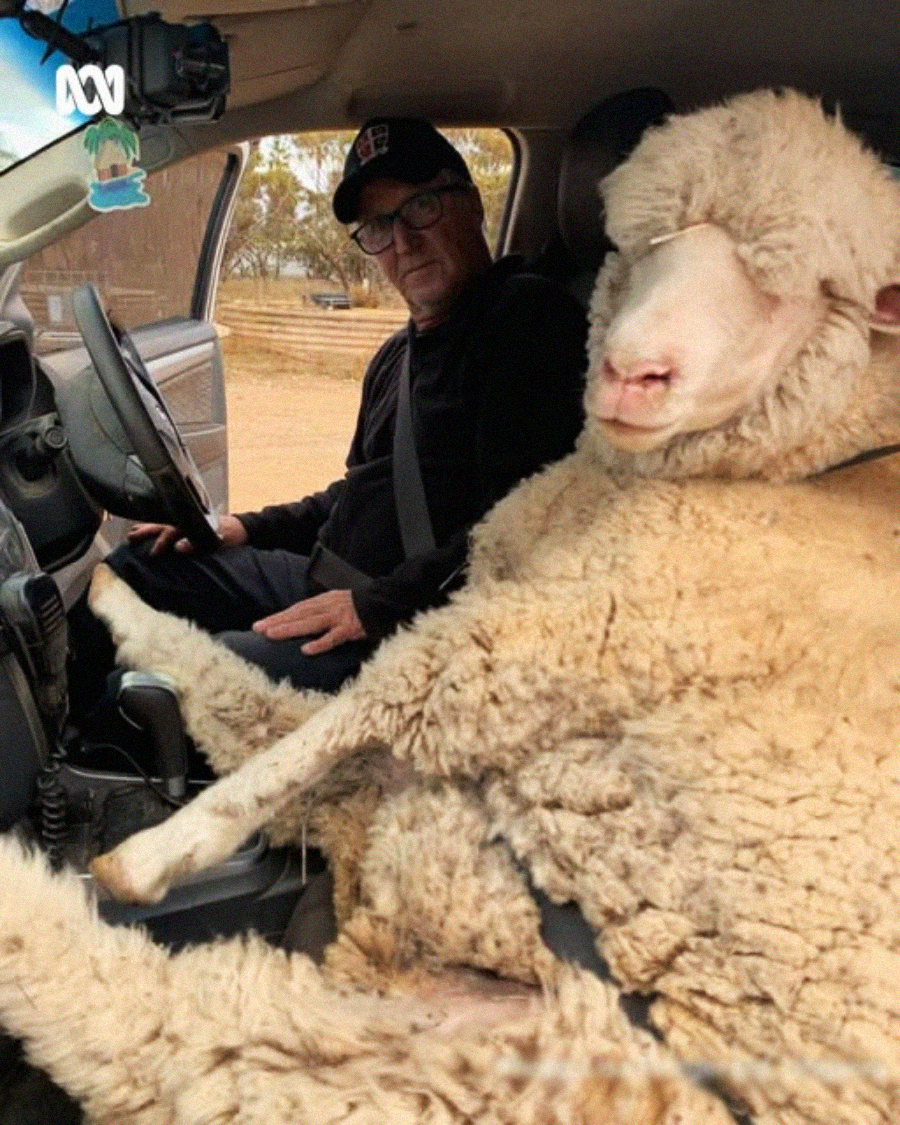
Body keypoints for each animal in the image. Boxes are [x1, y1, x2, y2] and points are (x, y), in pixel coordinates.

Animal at [2, 87, 900, 1124]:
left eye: (796, 287)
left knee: (158, 1022)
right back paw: (120, 606)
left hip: (466, 1057)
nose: (628, 372)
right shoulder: (506, 600)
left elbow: (376, 693)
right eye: (639, 245)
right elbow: (330, 707)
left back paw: (60, 881)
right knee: (236, 695)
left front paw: (163, 850)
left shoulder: (562, 629)